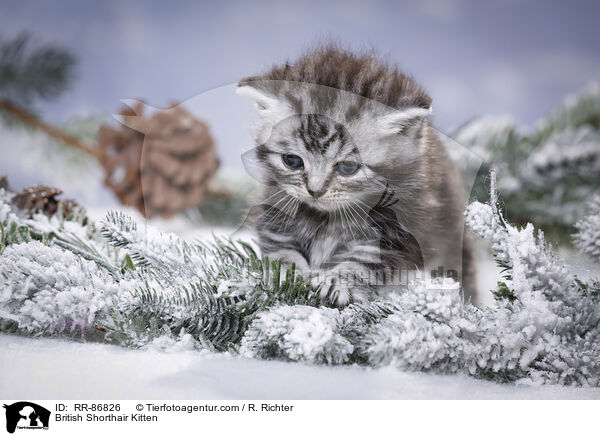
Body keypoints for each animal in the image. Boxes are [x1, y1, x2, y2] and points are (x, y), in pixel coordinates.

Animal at [237, 42, 476, 304]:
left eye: (348, 168)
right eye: (292, 161)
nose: (314, 191)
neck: (326, 218)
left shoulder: (406, 229)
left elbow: (365, 260)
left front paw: (338, 281)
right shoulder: (275, 206)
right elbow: (279, 249)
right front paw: (288, 275)